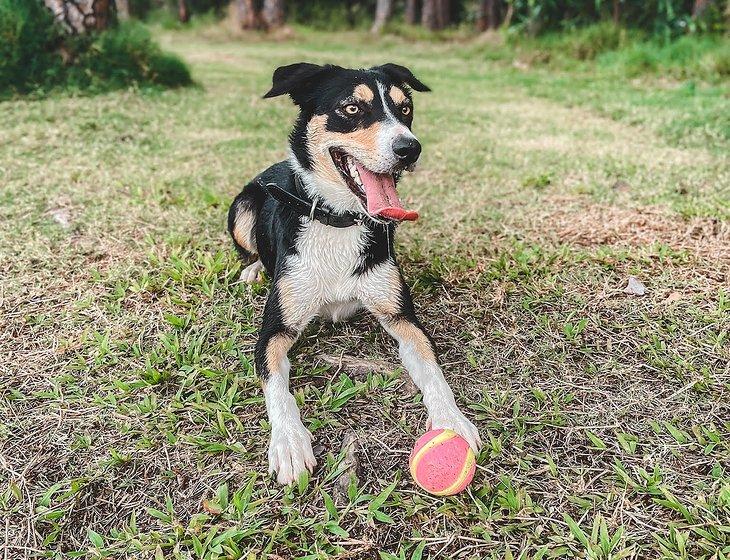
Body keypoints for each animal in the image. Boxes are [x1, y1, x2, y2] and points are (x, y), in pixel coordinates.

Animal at [226, 62, 478, 486]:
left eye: (406, 108)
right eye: (351, 108)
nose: (410, 148)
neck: (339, 219)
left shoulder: (401, 317)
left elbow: (432, 369)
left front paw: (451, 421)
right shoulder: (275, 330)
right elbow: (277, 387)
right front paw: (289, 442)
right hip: (242, 207)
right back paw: (254, 269)